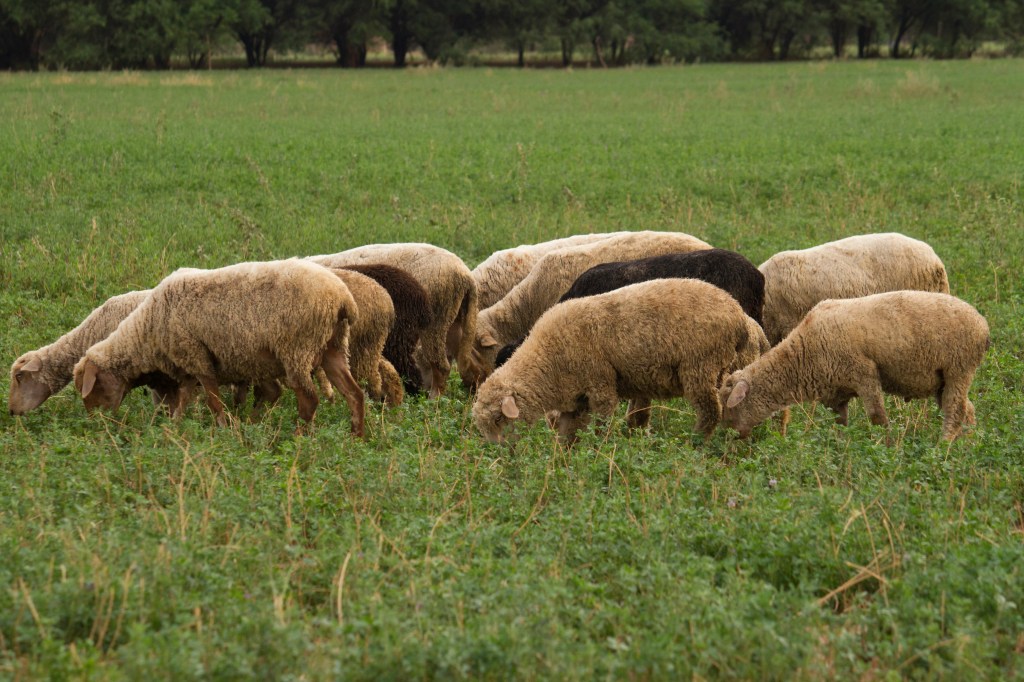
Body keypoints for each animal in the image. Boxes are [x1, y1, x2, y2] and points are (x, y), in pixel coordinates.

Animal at [72, 259, 366, 436]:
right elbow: (184, 401)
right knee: (355, 394)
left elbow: (212, 401)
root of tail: (344, 300)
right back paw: (357, 438)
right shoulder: (189, 366)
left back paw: (298, 438)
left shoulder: (197, 358)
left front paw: (224, 430)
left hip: (297, 349)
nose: (96, 425)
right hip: (333, 347)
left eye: (93, 387)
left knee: (309, 399)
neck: (146, 331)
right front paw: (173, 428)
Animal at [472, 278, 749, 445]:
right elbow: (568, 432)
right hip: (719, 367)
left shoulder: (599, 383)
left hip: (700, 365)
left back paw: (695, 442)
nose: (500, 452)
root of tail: (738, 316)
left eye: (497, 419)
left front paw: (599, 447)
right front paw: (565, 456)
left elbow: (602, 421)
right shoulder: (576, 401)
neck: (548, 361)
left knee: (710, 410)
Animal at [718, 291, 989, 442]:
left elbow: (877, 417)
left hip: (958, 368)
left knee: (954, 412)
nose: (728, 438)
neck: (801, 355)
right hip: (944, 380)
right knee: (968, 410)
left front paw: (886, 446)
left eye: (732, 404)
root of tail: (983, 326)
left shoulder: (864, 373)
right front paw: (841, 447)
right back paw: (969, 444)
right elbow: (839, 424)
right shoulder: (835, 392)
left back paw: (943, 447)